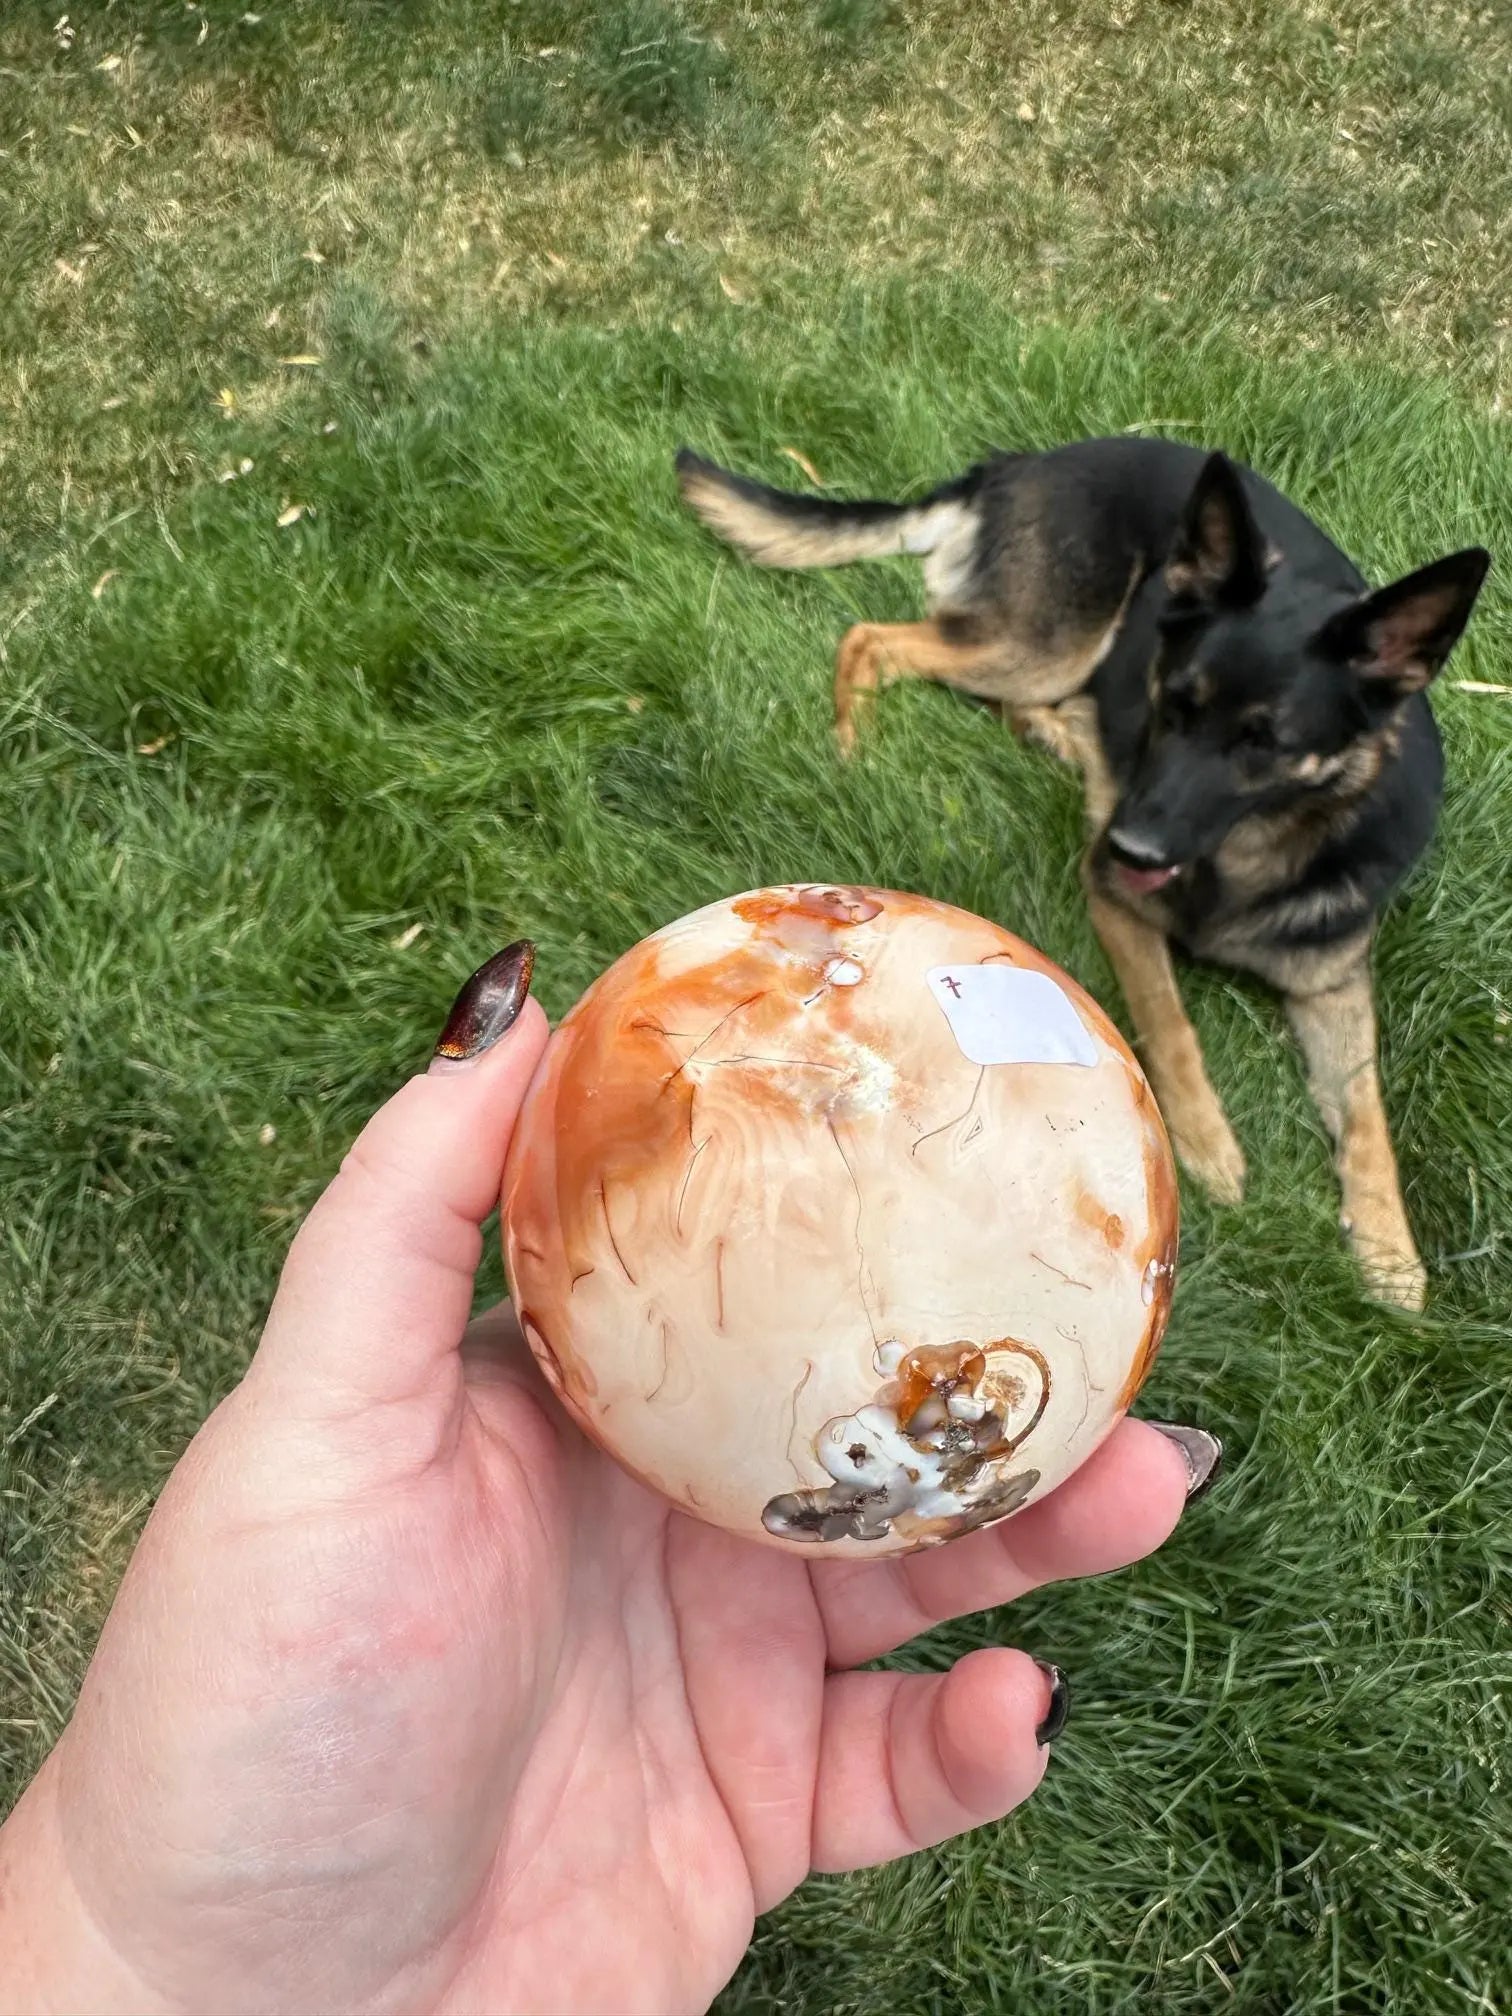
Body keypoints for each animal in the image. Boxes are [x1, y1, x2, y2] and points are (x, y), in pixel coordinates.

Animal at [677, 437, 1491, 1306]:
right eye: (1173, 703)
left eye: (1263, 743)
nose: (1125, 846)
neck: (1250, 856)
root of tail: (1023, 461)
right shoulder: (1118, 906)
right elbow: (1170, 1024)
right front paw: (1208, 1144)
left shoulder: (1332, 983)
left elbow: (1368, 1115)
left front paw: (1391, 1251)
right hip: (1048, 645)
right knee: (874, 638)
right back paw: (853, 746)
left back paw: (1061, 738)